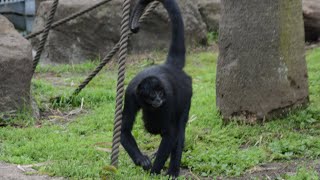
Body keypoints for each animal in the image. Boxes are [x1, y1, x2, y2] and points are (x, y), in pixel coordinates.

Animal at [120, 0, 192, 177]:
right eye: (152, 94)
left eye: (160, 92)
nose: (159, 99)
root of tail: (170, 67)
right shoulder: (130, 95)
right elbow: (124, 130)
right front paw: (142, 160)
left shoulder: (169, 98)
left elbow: (171, 134)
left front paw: (153, 171)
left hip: (186, 94)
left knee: (178, 131)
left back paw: (173, 171)